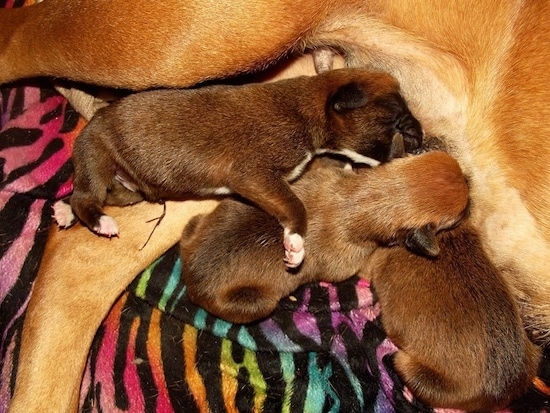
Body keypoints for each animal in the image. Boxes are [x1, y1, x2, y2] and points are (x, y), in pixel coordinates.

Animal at [59, 67, 422, 268]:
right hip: (98, 153)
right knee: (85, 196)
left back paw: (64, 212)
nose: (418, 139)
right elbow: (296, 206)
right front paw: (295, 244)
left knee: (92, 196)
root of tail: (94, 119)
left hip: (129, 188)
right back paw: (100, 221)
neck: (305, 110)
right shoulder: (253, 174)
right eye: (394, 116)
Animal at [178, 150, 470, 324]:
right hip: (256, 304)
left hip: (197, 224)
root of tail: (190, 280)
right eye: (460, 214)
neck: (365, 198)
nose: (469, 179)